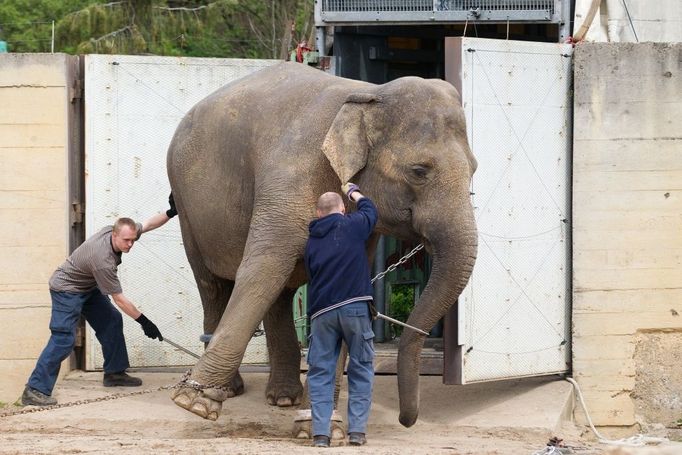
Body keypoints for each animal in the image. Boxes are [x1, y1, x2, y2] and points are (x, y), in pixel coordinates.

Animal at [167, 59, 476, 428]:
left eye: (474, 169)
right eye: (419, 171)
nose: (407, 420)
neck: (369, 92)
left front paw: (322, 419)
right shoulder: (289, 176)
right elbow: (261, 269)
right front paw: (193, 401)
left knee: (279, 293)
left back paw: (283, 398)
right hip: (186, 205)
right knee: (212, 284)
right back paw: (234, 390)